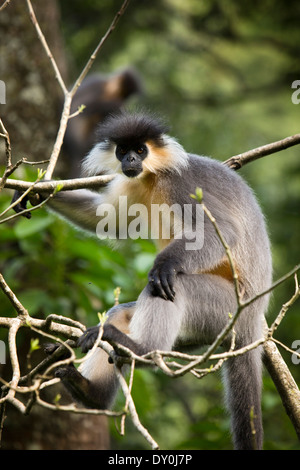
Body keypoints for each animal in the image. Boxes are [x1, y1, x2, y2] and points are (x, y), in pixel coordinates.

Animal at [35, 111, 272, 452]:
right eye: (123, 150)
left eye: (140, 150)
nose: (131, 160)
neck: (153, 176)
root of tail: (254, 319)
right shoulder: (132, 182)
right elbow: (107, 218)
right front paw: (40, 189)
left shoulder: (182, 184)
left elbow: (222, 231)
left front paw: (164, 265)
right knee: (119, 313)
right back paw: (91, 392)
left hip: (227, 307)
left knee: (172, 286)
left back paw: (142, 350)